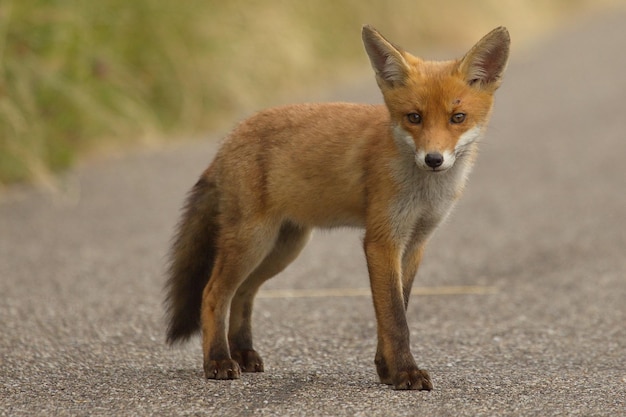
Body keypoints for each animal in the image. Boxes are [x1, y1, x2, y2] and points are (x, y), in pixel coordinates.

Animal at [165, 26, 508, 388]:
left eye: (458, 118)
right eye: (414, 117)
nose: (433, 159)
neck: (424, 191)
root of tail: (228, 139)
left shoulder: (415, 242)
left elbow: (396, 309)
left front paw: (386, 369)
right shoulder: (382, 241)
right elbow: (394, 318)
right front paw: (405, 372)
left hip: (282, 248)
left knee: (243, 293)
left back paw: (243, 353)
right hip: (252, 241)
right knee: (213, 293)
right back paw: (218, 360)